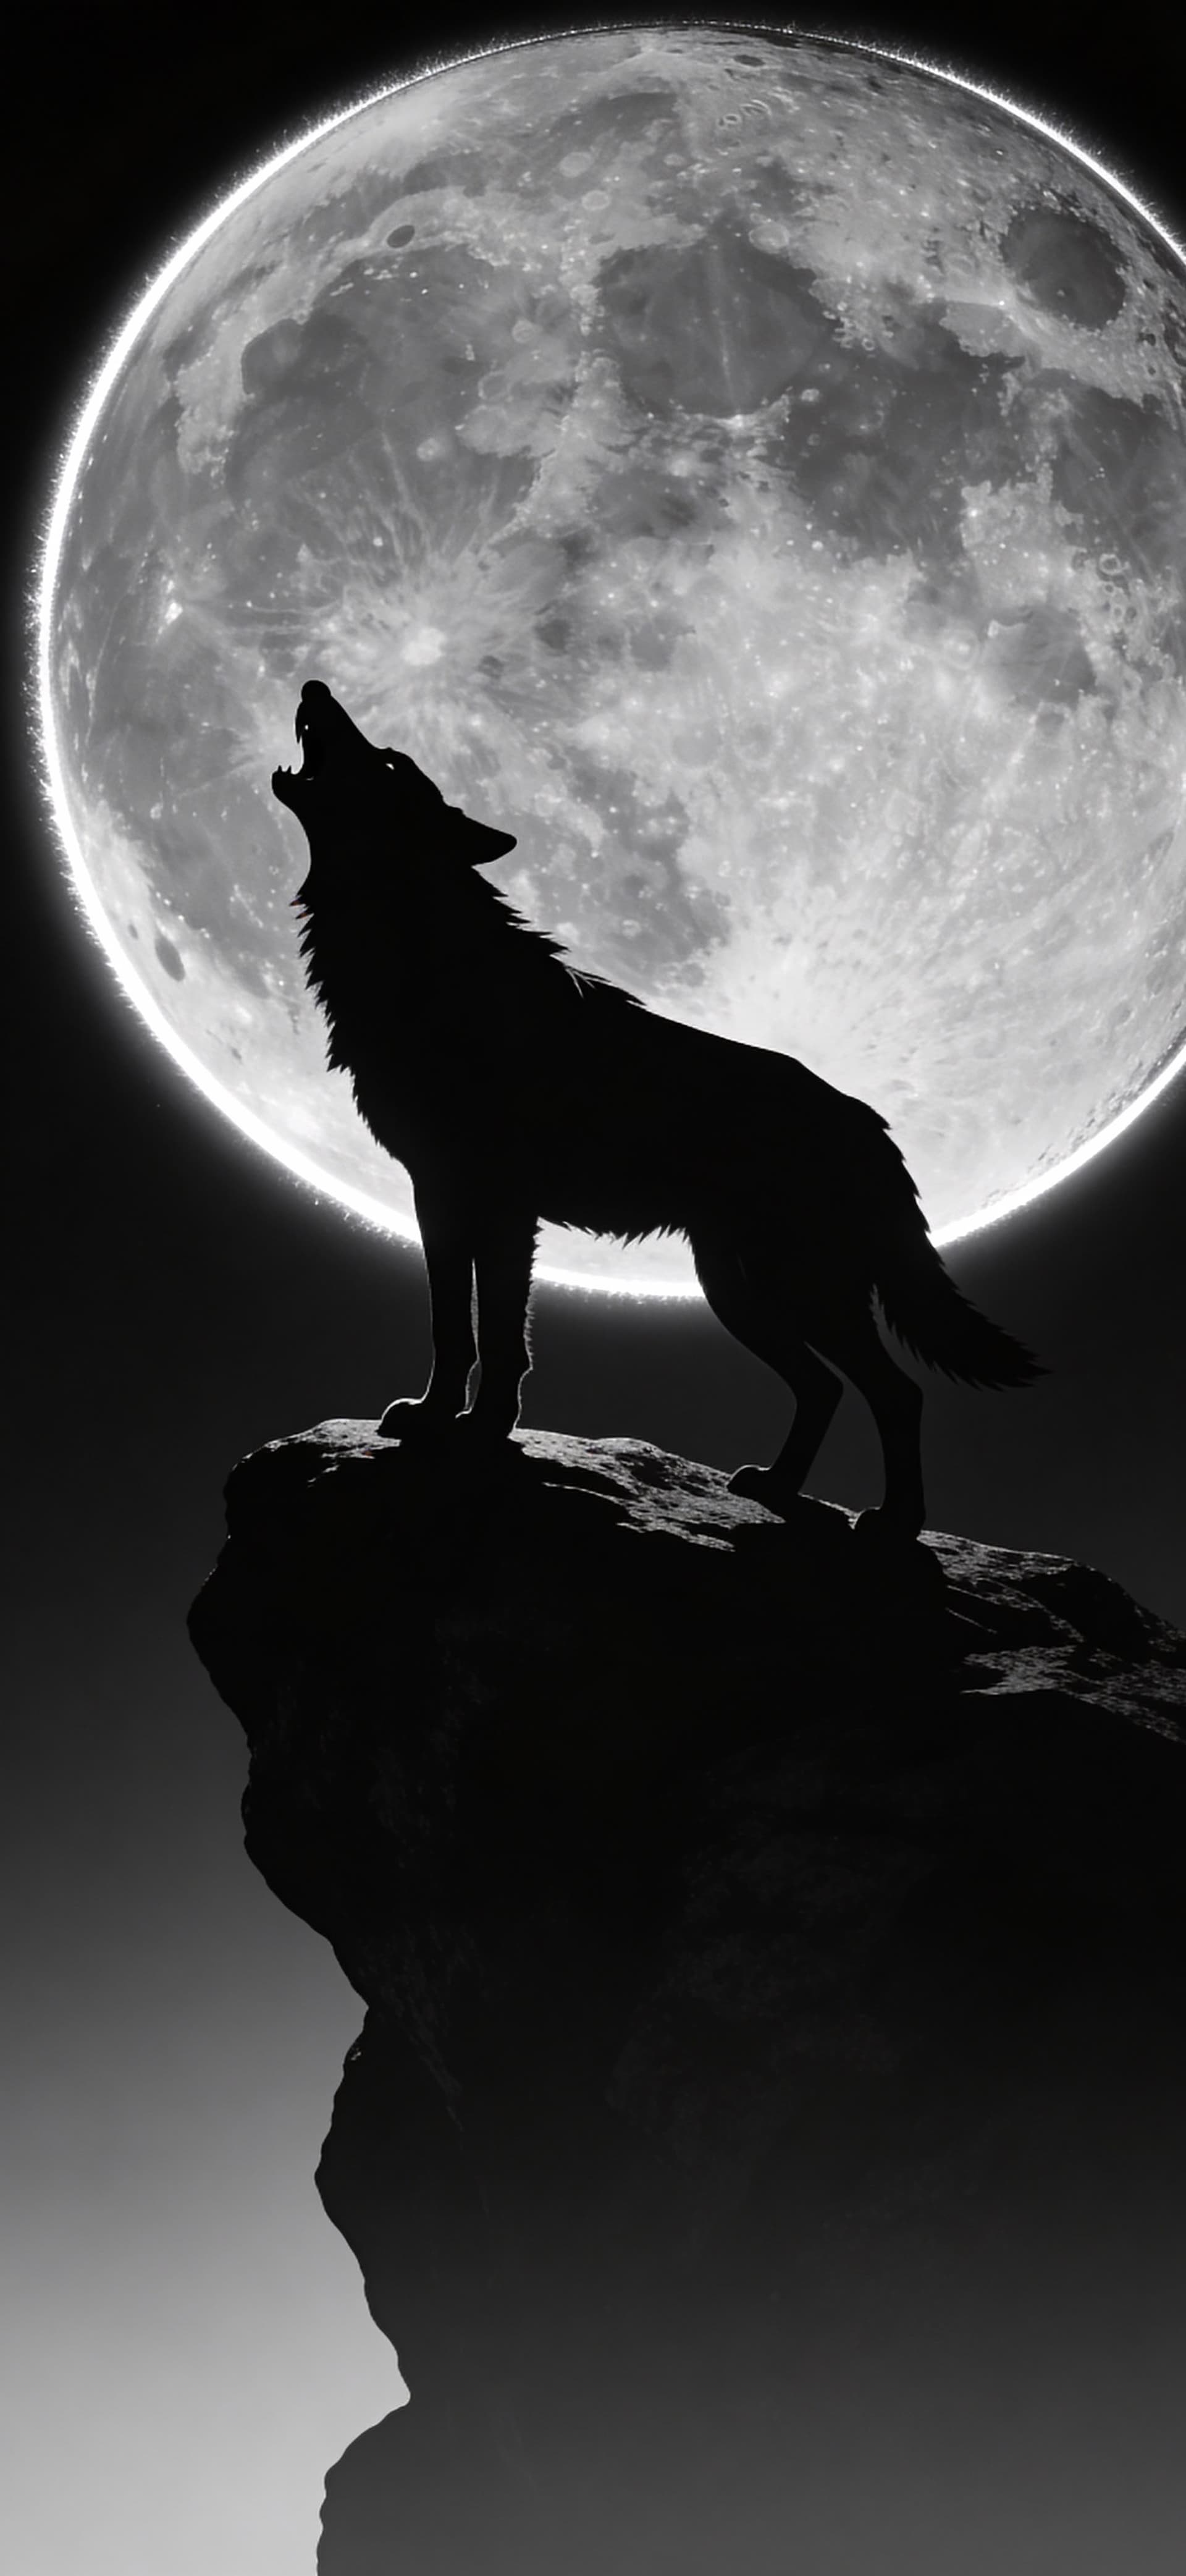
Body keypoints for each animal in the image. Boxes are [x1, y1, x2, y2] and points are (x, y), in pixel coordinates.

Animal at [273, 681, 1042, 1538]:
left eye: (386, 761)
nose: (314, 688)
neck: (421, 956)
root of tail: (870, 1124)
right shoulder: (438, 1196)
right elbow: (453, 1329)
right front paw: (438, 1417)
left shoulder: (500, 1206)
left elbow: (498, 1334)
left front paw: (481, 1429)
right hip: (739, 1290)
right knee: (826, 1387)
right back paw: (777, 1487)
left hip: (796, 1289)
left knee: (896, 1392)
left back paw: (896, 1521)